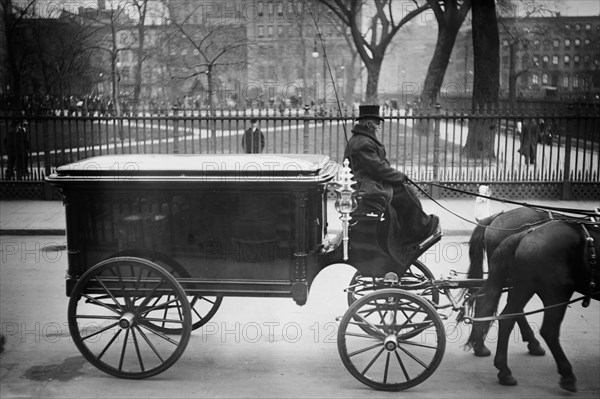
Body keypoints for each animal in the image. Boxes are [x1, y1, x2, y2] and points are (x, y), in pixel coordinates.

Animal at [468, 220, 600, 392]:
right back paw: (566, 374)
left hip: (523, 286)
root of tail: (526, 233)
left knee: (506, 316)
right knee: (548, 331)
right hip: (556, 292)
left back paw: (502, 368)